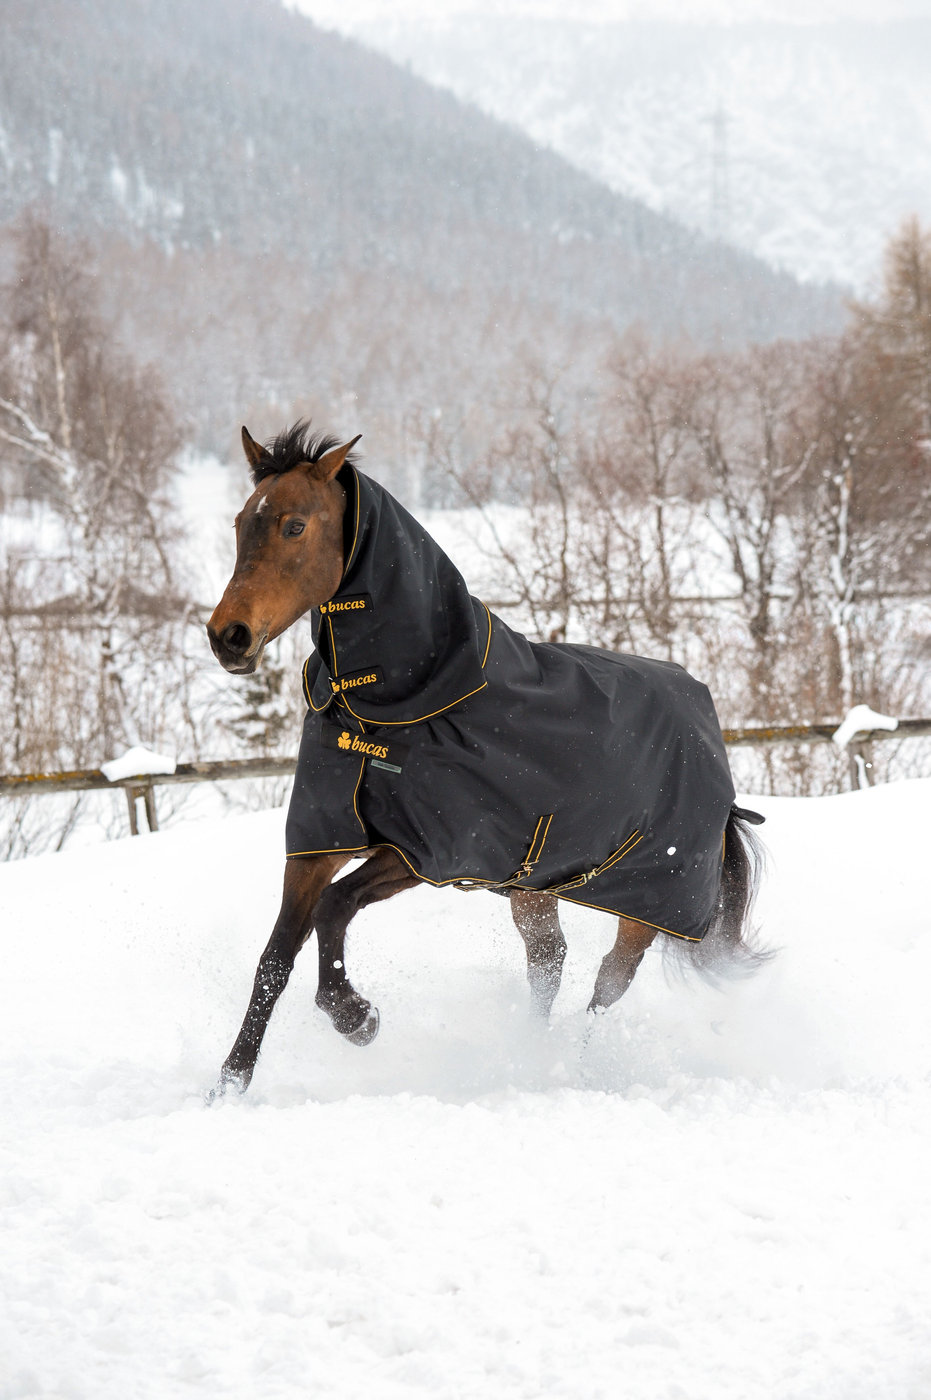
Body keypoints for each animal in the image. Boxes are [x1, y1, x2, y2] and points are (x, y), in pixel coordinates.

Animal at [207, 421, 765, 1095]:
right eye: (242, 522)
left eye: (294, 526)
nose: (228, 637)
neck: (393, 706)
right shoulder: (320, 841)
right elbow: (276, 956)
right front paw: (228, 1086)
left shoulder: (426, 850)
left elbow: (334, 908)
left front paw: (357, 1018)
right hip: (535, 886)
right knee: (549, 961)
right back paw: (529, 1055)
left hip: (647, 902)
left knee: (609, 982)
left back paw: (575, 1067)